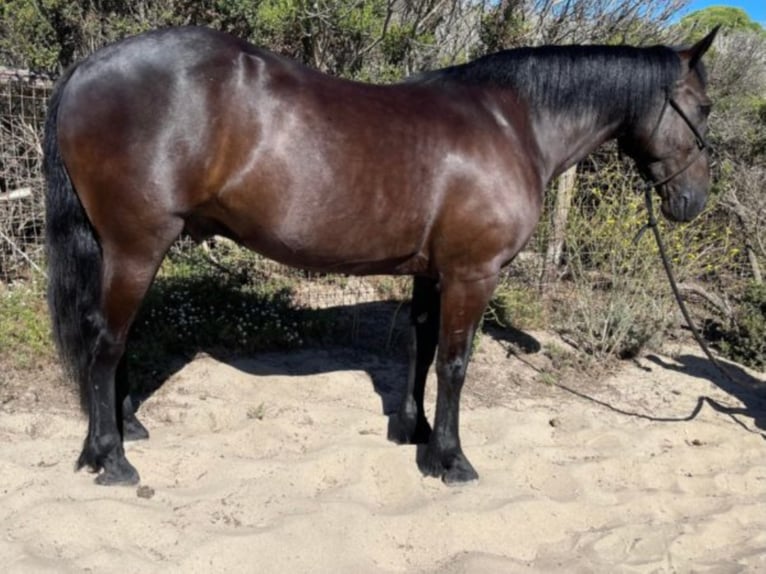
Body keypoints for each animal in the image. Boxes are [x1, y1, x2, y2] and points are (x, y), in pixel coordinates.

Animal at [43, 25, 720, 486]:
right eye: (705, 107)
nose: (694, 201)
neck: (511, 124)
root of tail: (87, 68)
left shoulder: (432, 273)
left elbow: (419, 350)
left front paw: (413, 434)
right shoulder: (473, 275)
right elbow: (454, 363)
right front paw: (451, 459)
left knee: (115, 338)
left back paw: (125, 429)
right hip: (137, 247)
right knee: (106, 341)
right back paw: (111, 457)